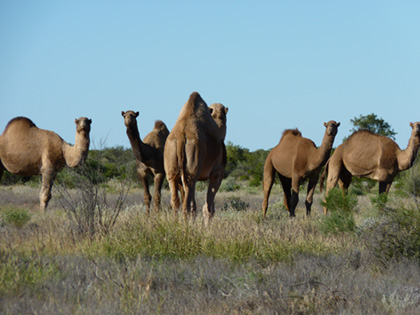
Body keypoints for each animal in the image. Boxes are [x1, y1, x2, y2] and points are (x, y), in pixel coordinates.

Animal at [164, 91, 230, 225]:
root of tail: (181, 136)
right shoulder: (217, 172)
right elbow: (209, 207)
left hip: (171, 169)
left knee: (176, 201)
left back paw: (175, 224)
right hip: (192, 169)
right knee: (187, 203)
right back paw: (186, 227)